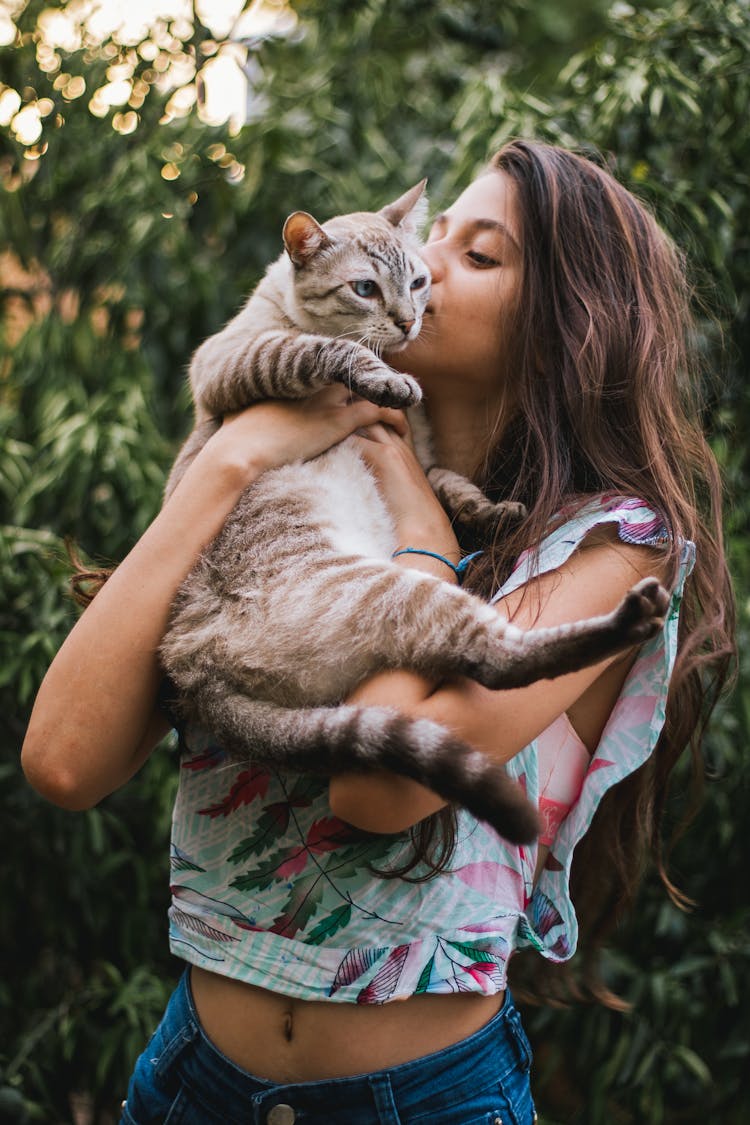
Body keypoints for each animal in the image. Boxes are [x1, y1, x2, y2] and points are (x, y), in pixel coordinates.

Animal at [159, 180, 670, 841]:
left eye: (419, 282)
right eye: (365, 289)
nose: (408, 321)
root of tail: (190, 669)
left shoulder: (424, 458)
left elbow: (451, 486)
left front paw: (496, 512)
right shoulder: (229, 360)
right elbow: (321, 349)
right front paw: (384, 380)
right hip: (389, 589)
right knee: (493, 660)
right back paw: (634, 618)